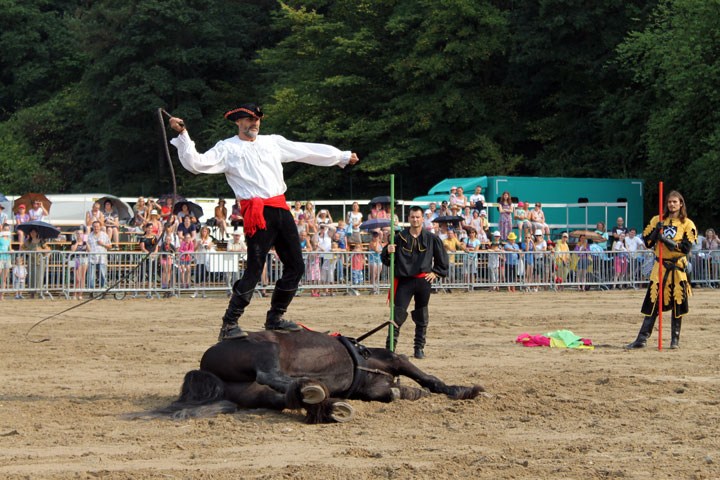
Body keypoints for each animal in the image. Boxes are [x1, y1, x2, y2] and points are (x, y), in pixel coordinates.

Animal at [130, 329, 484, 423]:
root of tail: (207, 369)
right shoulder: (392, 359)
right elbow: (425, 375)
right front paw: (463, 389)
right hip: (264, 349)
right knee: (271, 374)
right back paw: (315, 390)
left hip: (252, 394)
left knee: (281, 397)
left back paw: (321, 401)